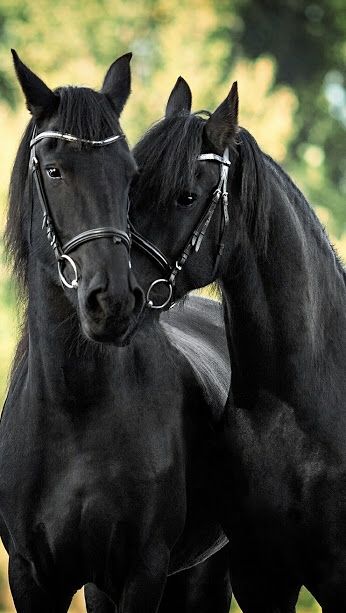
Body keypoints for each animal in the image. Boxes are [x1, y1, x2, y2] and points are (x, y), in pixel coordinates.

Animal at [2, 55, 232, 608]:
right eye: (55, 170)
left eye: (129, 177)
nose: (113, 303)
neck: (75, 410)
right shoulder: (32, 575)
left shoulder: (141, 572)